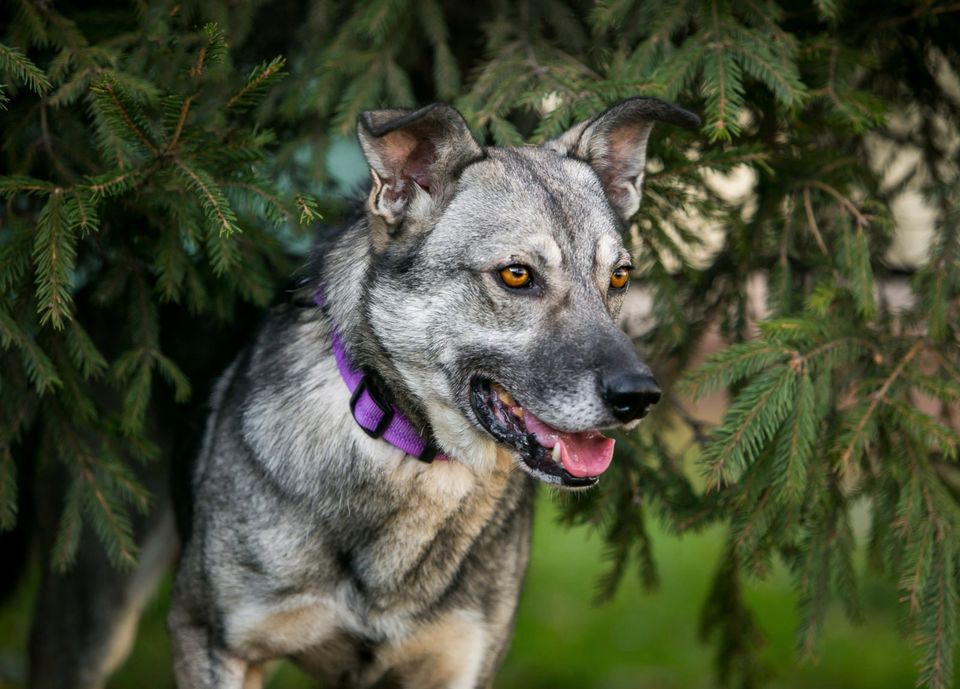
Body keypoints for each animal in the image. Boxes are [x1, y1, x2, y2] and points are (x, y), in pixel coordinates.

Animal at [169, 98, 700, 688]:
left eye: (620, 277)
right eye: (517, 275)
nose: (640, 397)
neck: (413, 455)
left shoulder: (459, 663)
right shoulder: (213, 641)